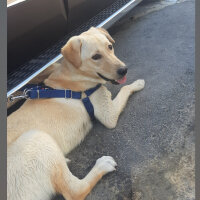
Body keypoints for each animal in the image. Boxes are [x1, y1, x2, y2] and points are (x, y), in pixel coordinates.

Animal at [7, 27, 145, 200]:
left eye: (110, 47)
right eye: (95, 57)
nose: (124, 70)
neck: (73, 74)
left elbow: (53, 66)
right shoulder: (109, 115)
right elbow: (125, 88)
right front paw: (137, 83)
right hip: (37, 139)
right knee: (75, 191)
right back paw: (102, 165)